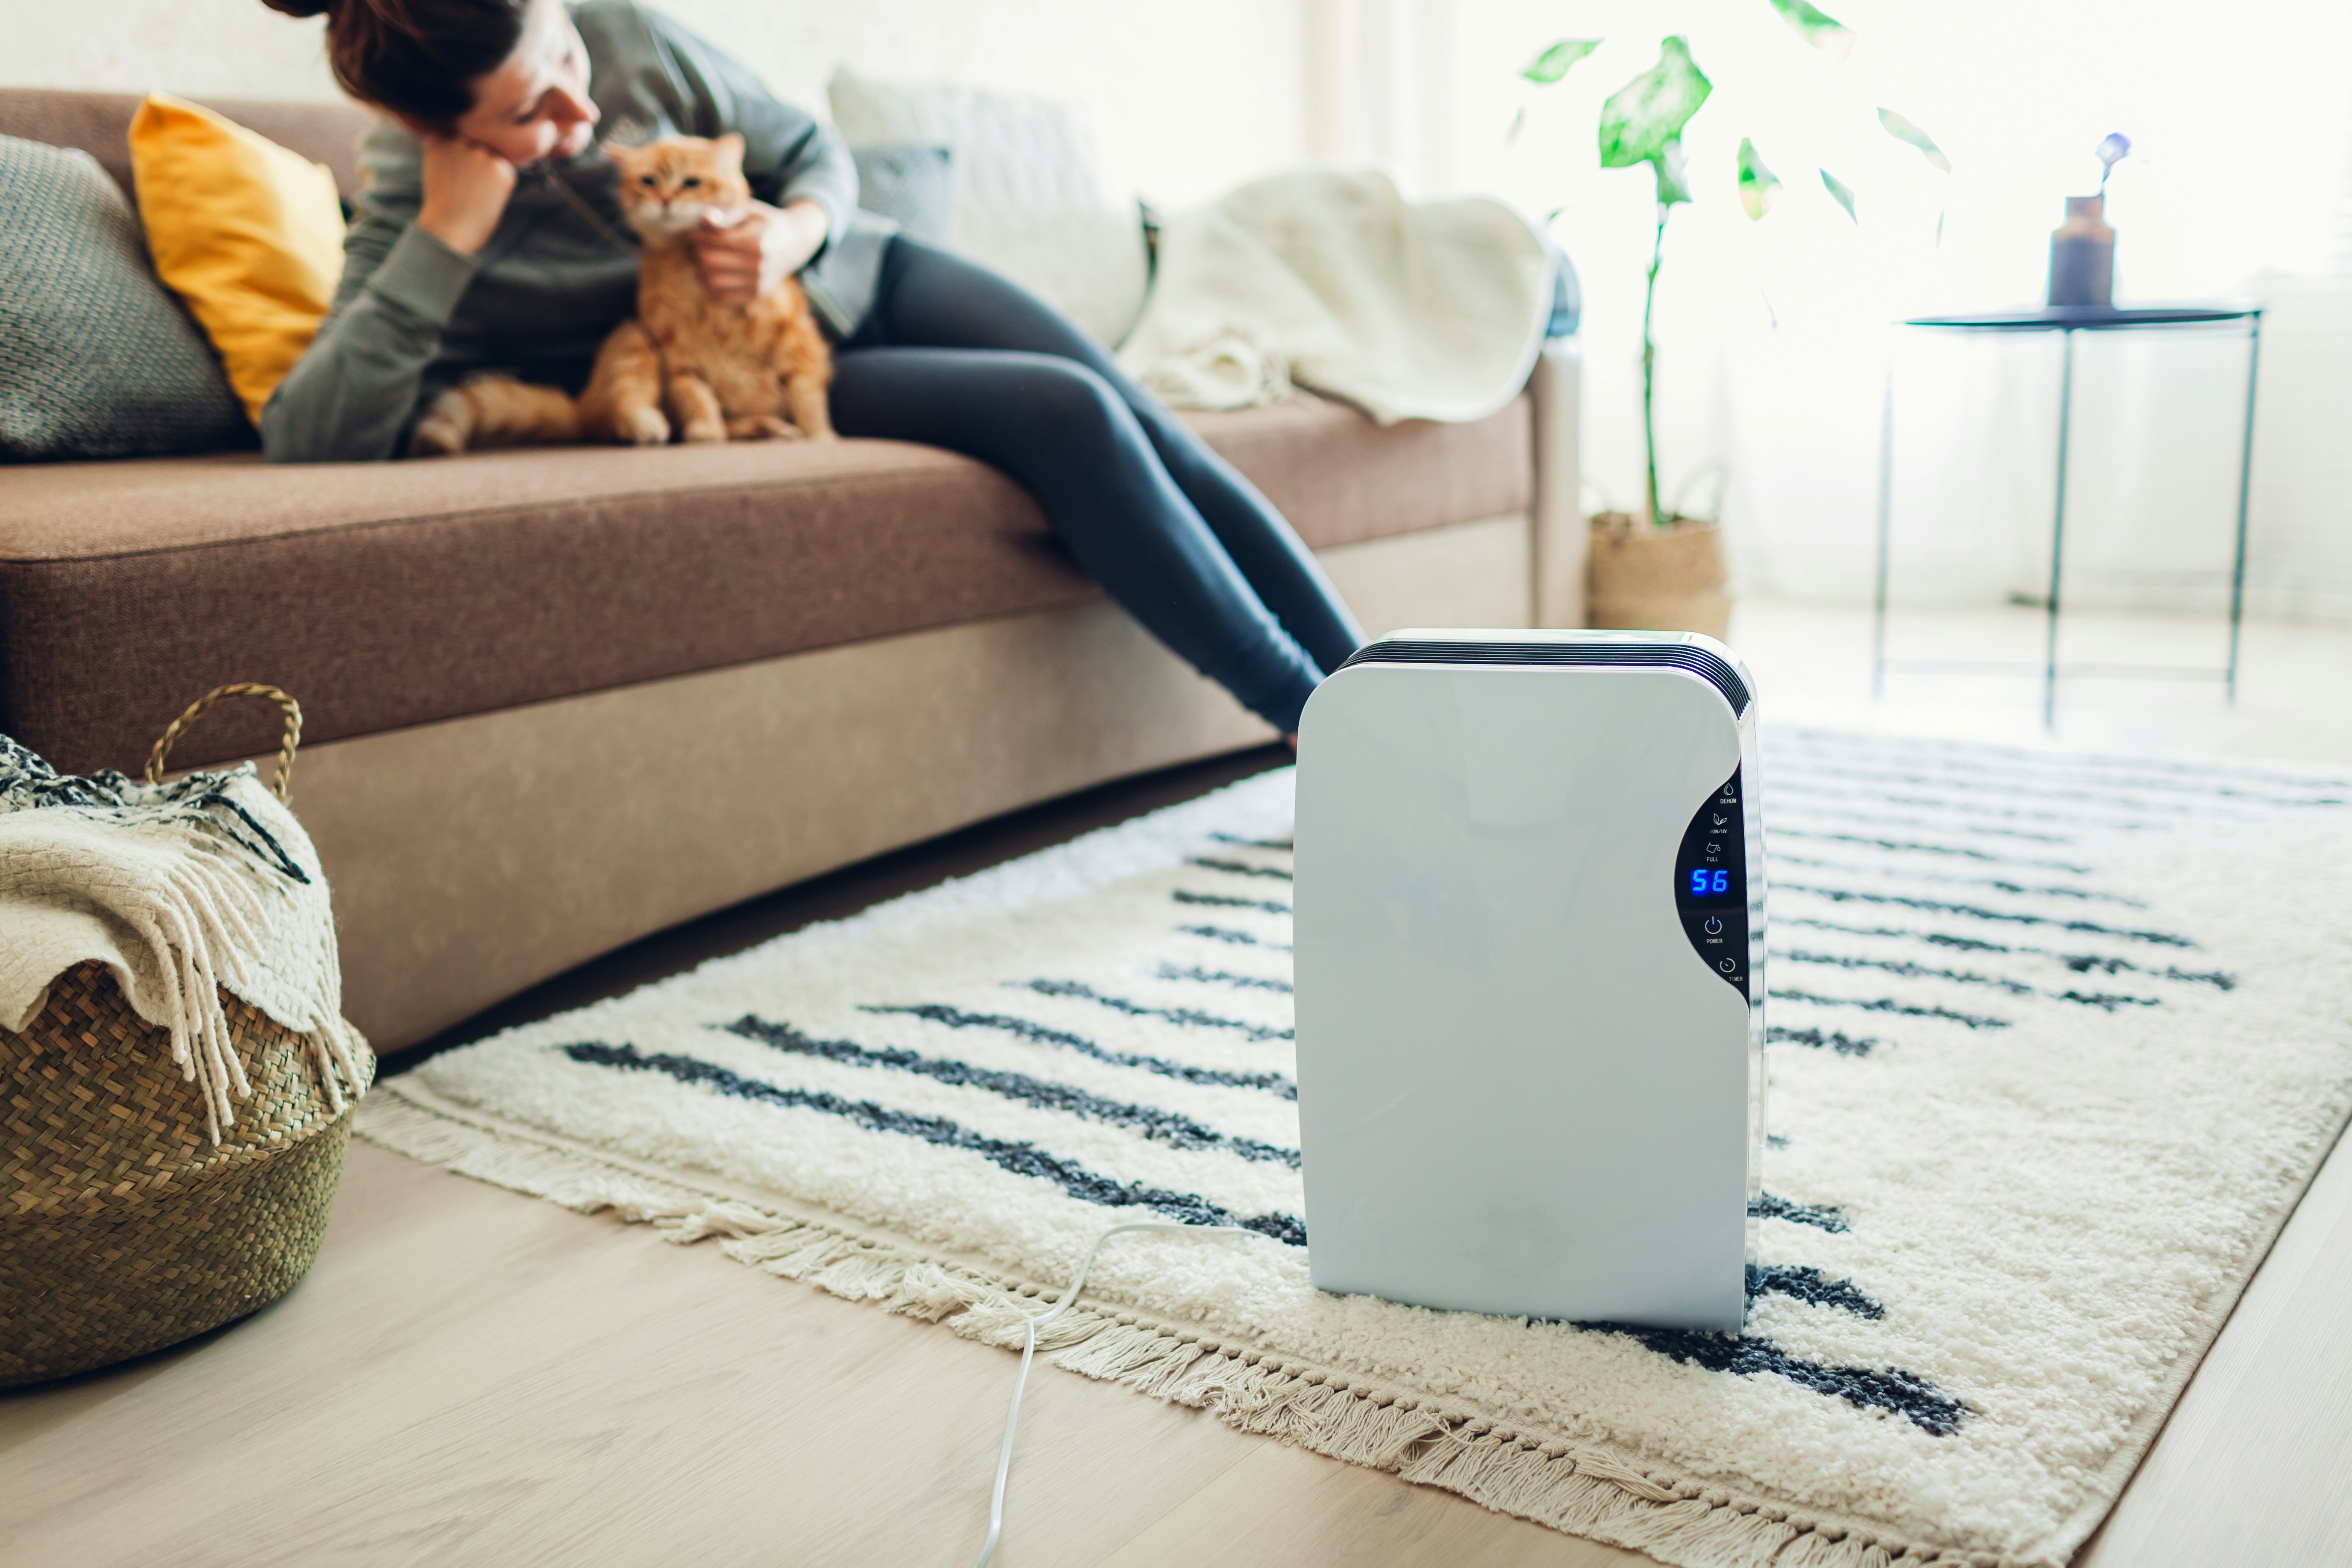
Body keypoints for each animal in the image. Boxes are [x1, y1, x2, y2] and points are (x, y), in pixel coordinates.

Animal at [578, 132, 837, 444]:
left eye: (691, 183)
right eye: (648, 181)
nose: (665, 200)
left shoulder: (796, 339)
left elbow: (807, 396)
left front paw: (820, 436)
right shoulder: (674, 344)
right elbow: (694, 392)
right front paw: (704, 428)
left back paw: (770, 427)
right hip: (634, 339)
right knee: (621, 406)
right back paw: (649, 425)